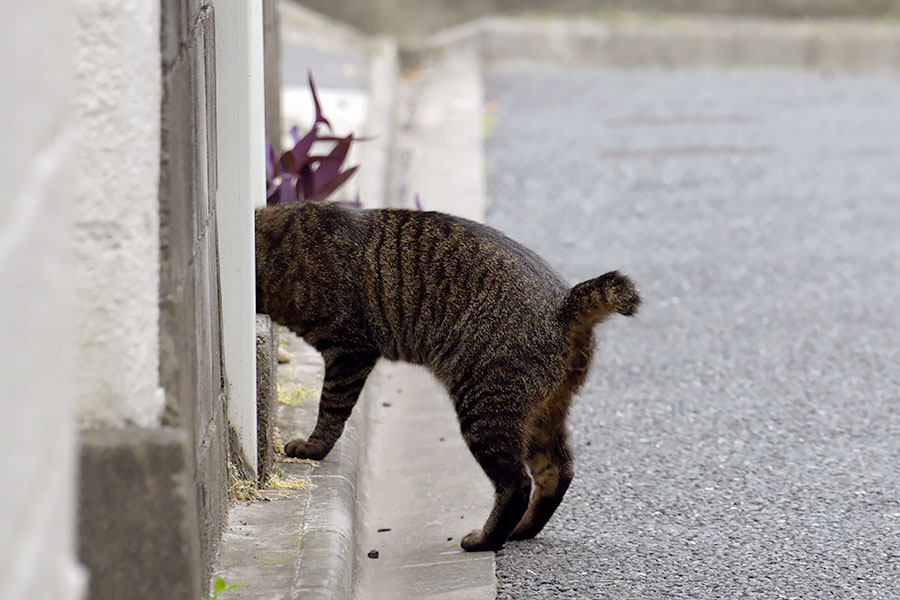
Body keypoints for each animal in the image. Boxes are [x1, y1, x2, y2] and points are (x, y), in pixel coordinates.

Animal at [253, 203, 640, 552]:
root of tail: (563, 303)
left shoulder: (349, 350)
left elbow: (330, 409)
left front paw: (313, 447)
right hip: (541, 415)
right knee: (558, 472)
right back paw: (522, 530)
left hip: (485, 411)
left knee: (517, 484)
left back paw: (484, 541)